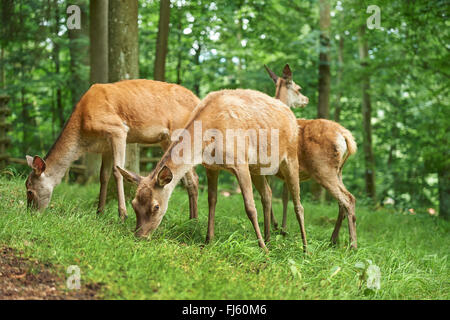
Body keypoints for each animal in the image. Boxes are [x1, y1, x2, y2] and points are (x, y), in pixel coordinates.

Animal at [25, 79, 199, 222]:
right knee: (190, 177)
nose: (31, 214)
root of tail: (197, 99)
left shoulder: (117, 130)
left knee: (193, 177)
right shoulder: (105, 146)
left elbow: (117, 171)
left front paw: (122, 214)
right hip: (166, 140)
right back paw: (192, 220)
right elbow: (103, 175)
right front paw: (99, 212)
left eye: (29, 191)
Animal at [117, 87, 310, 252]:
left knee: (298, 205)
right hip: (258, 167)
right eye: (133, 203)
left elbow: (249, 207)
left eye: (156, 207)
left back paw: (304, 249)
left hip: (290, 158)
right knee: (267, 194)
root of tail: (293, 116)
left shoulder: (240, 162)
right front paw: (208, 240)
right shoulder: (211, 167)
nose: (140, 236)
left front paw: (263, 249)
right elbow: (211, 200)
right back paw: (269, 238)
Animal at [264, 63, 358, 248]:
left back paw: (352, 245)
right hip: (338, 170)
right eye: (299, 89)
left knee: (347, 199)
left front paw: (278, 227)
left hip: (323, 168)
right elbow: (284, 197)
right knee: (344, 201)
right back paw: (333, 240)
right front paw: (282, 228)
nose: (306, 99)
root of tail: (345, 136)